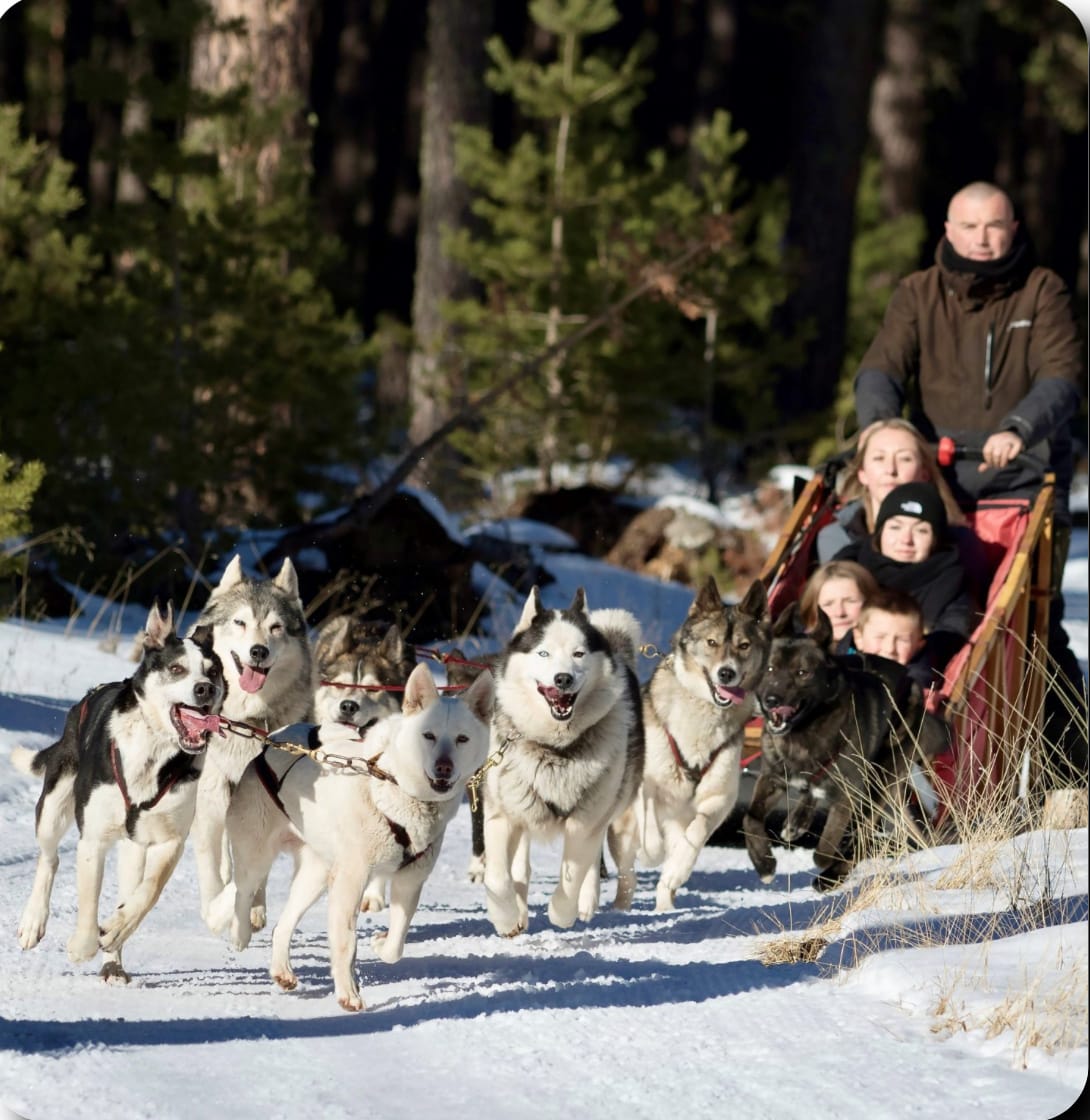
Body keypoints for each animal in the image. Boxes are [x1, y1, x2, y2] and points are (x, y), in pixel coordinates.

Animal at [743, 604, 949, 891]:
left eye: (802, 672)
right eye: (771, 668)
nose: (771, 701)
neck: (805, 731)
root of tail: (910, 679)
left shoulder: (848, 793)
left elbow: (826, 847)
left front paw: (826, 864)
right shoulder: (772, 778)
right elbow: (749, 819)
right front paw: (764, 865)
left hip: (880, 781)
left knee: (861, 837)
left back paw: (830, 876)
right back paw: (796, 824)